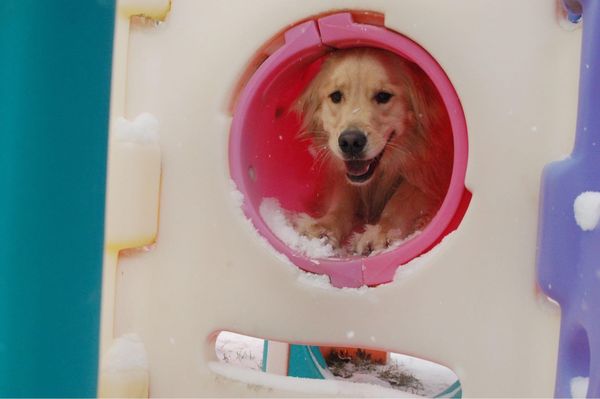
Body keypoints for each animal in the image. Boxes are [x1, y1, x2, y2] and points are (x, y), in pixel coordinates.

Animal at [292, 48, 452, 255]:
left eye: (383, 96)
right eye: (336, 96)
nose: (350, 142)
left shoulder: (430, 173)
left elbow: (403, 200)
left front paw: (380, 233)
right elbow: (342, 200)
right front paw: (325, 227)